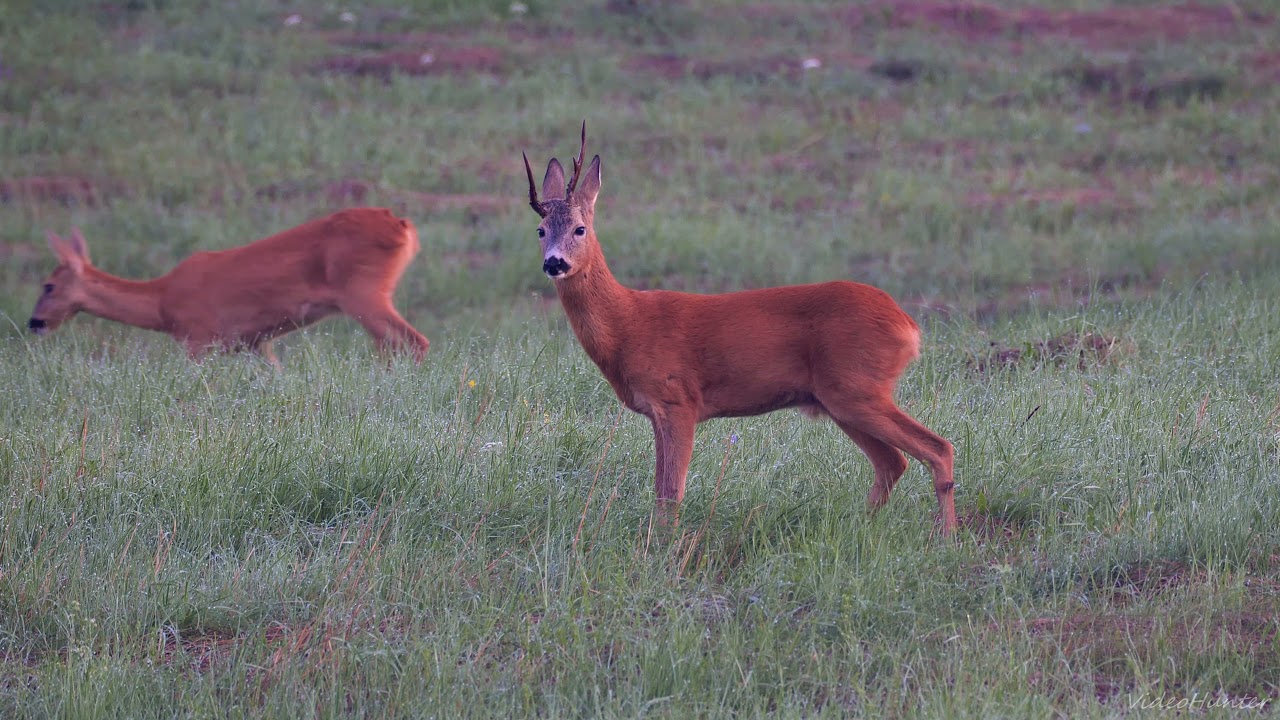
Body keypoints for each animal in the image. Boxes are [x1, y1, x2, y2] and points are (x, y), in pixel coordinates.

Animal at [28, 208, 430, 366]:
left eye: (48, 286)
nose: (35, 323)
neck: (161, 303)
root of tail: (403, 227)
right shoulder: (254, 342)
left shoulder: (197, 338)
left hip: (362, 292)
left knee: (412, 342)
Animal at [522, 123, 957, 535]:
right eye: (541, 231)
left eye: (579, 229)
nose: (554, 263)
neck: (627, 323)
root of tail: (907, 325)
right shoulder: (659, 410)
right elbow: (662, 490)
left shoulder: (678, 399)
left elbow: (671, 491)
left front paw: (663, 547)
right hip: (842, 399)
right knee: (893, 463)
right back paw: (861, 526)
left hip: (856, 387)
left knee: (938, 448)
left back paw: (947, 537)